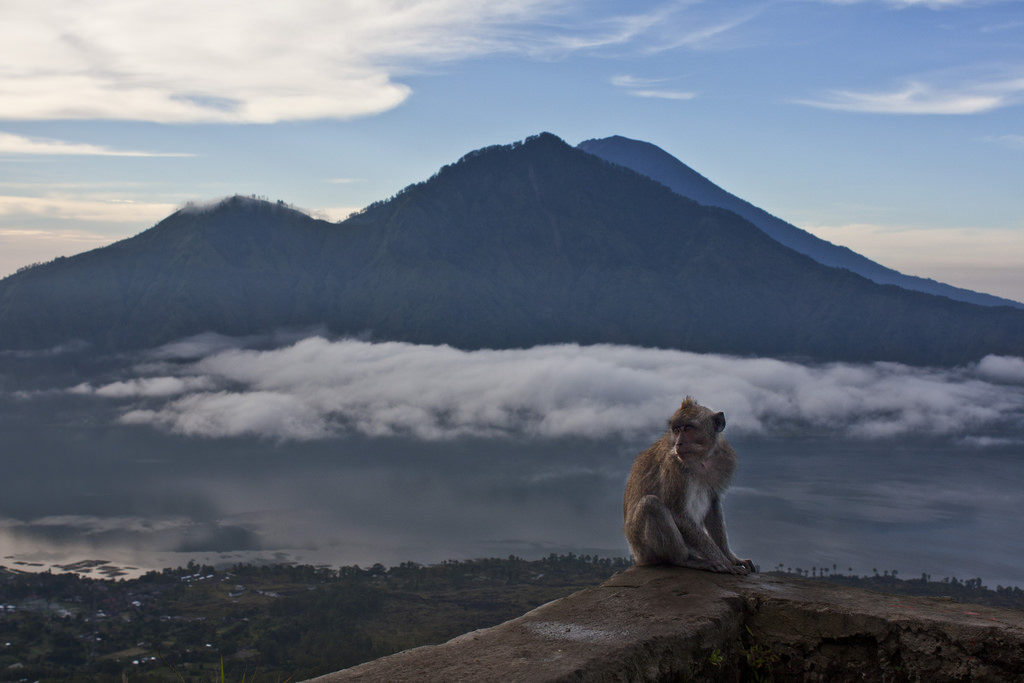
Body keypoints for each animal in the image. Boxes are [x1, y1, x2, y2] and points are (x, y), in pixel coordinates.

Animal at [623, 397, 755, 574]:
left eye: (688, 428)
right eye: (676, 430)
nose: (678, 443)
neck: (701, 460)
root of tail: (637, 558)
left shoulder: (724, 460)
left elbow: (713, 505)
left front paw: (730, 558)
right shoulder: (673, 465)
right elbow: (678, 513)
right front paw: (725, 562)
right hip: (643, 549)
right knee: (651, 504)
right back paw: (684, 560)